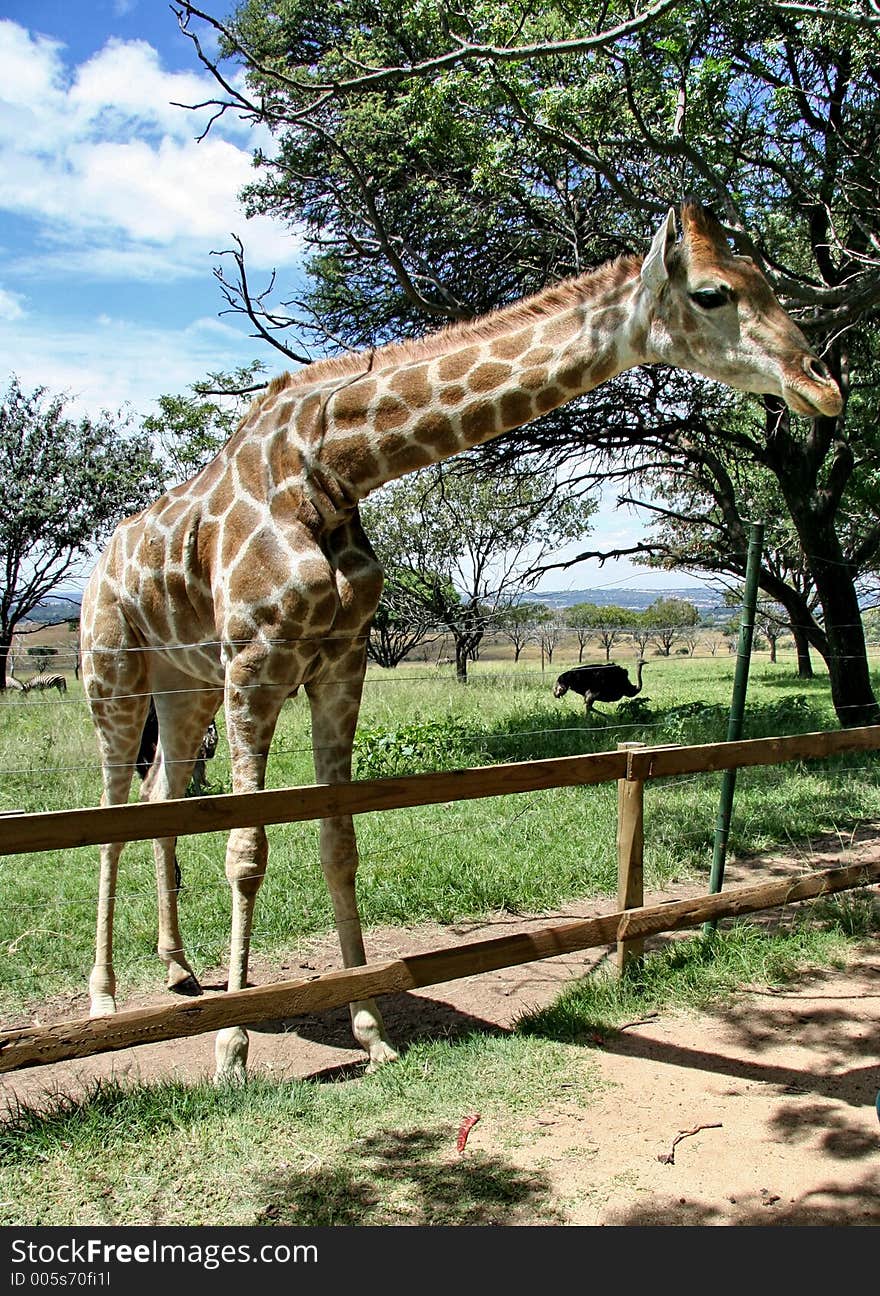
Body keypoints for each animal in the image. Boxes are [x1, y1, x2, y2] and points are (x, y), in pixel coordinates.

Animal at [81, 196, 839, 1078]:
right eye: (715, 293)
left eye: (768, 279)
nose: (822, 384)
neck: (334, 466)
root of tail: (100, 563)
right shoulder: (259, 659)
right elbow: (248, 851)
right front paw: (231, 1052)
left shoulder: (338, 662)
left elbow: (339, 841)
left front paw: (371, 1029)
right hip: (116, 671)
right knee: (110, 806)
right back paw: (105, 999)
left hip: (186, 681)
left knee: (160, 795)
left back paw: (179, 969)